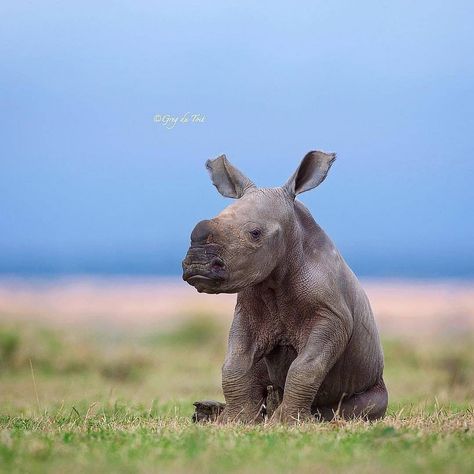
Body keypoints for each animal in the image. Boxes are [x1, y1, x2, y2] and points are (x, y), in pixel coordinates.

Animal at [183, 151, 386, 422]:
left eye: (255, 233)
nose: (197, 264)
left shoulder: (332, 317)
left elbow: (306, 367)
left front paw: (288, 421)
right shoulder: (247, 312)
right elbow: (234, 364)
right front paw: (234, 420)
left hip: (374, 383)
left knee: (366, 405)